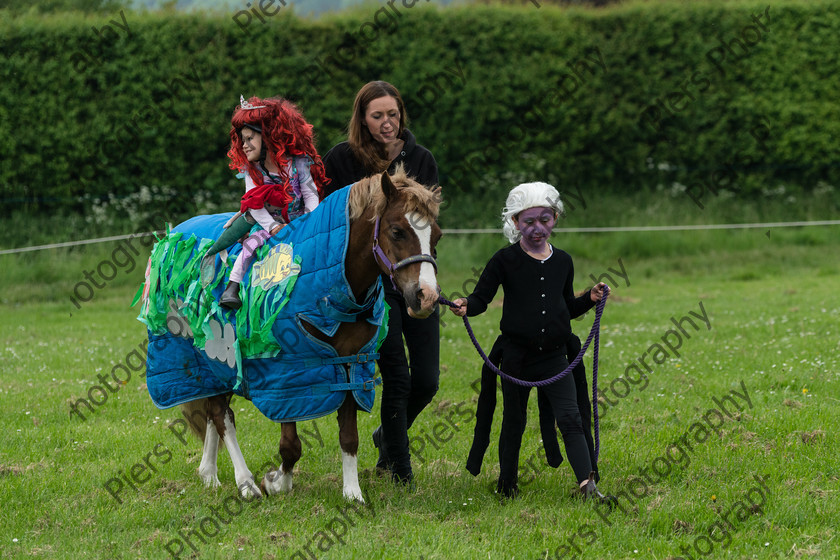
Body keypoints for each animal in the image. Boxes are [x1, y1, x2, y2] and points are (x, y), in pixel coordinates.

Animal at [139, 164, 440, 500]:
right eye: (397, 231)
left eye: (437, 235)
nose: (426, 297)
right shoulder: (287, 373)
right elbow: (290, 445)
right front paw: (275, 482)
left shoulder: (348, 365)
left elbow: (349, 437)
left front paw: (353, 493)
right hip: (207, 355)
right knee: (221, 415)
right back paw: (245, 483)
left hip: (218, 364)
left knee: (214, 411)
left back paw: (209, 474)